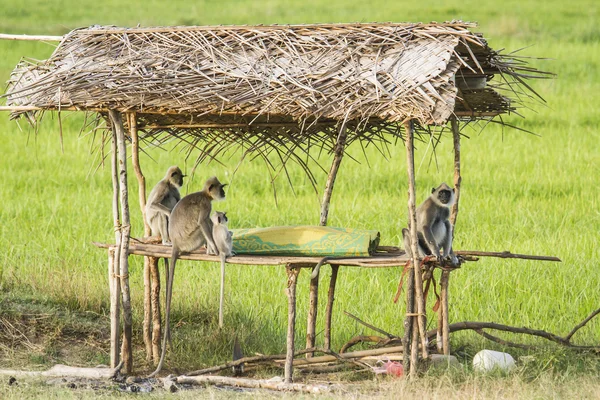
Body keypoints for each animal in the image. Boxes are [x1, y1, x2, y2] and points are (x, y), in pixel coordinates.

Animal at [148, 176, 227, 378]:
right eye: (221, 188)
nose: (224, 192)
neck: (204, 194)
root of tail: (176, 242)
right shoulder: (206, 205)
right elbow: (203, 222)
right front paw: (216, 251)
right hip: (192, 239)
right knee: (204, 224)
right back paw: (210, 250)